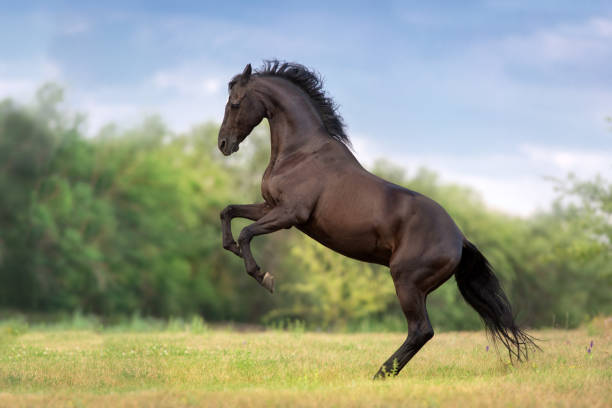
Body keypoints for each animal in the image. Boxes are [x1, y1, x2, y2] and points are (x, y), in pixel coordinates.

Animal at [216, 59, 536, 378]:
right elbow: (228, 212)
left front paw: (263, 276)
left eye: (235, 103)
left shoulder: (290, 213)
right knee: (421, 331)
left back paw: (380, 374)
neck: (301, 154)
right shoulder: (270, 206)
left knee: (421, 330)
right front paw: (232, 248)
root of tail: (459, 239)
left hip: (406, 281)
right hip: (418, 288)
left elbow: (246, 232)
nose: (223, 144)